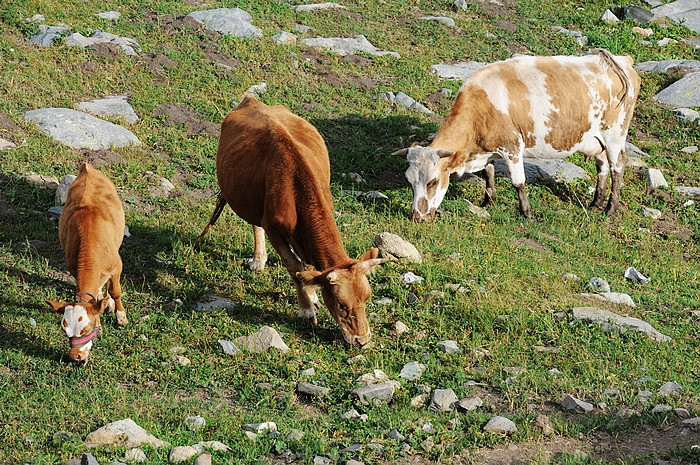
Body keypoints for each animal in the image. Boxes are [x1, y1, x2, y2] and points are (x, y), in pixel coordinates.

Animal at [46, 161, 127, 364]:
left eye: (87, 329)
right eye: (64, 330)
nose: (76, 356)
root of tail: (87, 167)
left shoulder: (117, 266)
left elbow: (116, 291)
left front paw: (121, 316)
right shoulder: (73, 268)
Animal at [194, 95, 386, 344]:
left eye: (367, 298)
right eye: (341, 304)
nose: (362, 341)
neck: (296, 186)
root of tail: (252, 100)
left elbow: (308, 267)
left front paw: (312, 294)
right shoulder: (273, 228)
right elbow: (295, 267)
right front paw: (306, 310)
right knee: (255, 223)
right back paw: (258, 260)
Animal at [394, 49, 640, 221]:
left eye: (433, 182)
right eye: (409, 180)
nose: (417, 217)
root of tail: (618, 60)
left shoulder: (511, 147)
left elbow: (518, 182)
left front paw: (526, 212)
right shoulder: (489, 149)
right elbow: (488, 173)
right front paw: (488, 201)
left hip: (615, 133)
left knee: (618, 165)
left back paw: (610, 208)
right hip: (597, 139)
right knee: (602, 166)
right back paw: (595, 203)